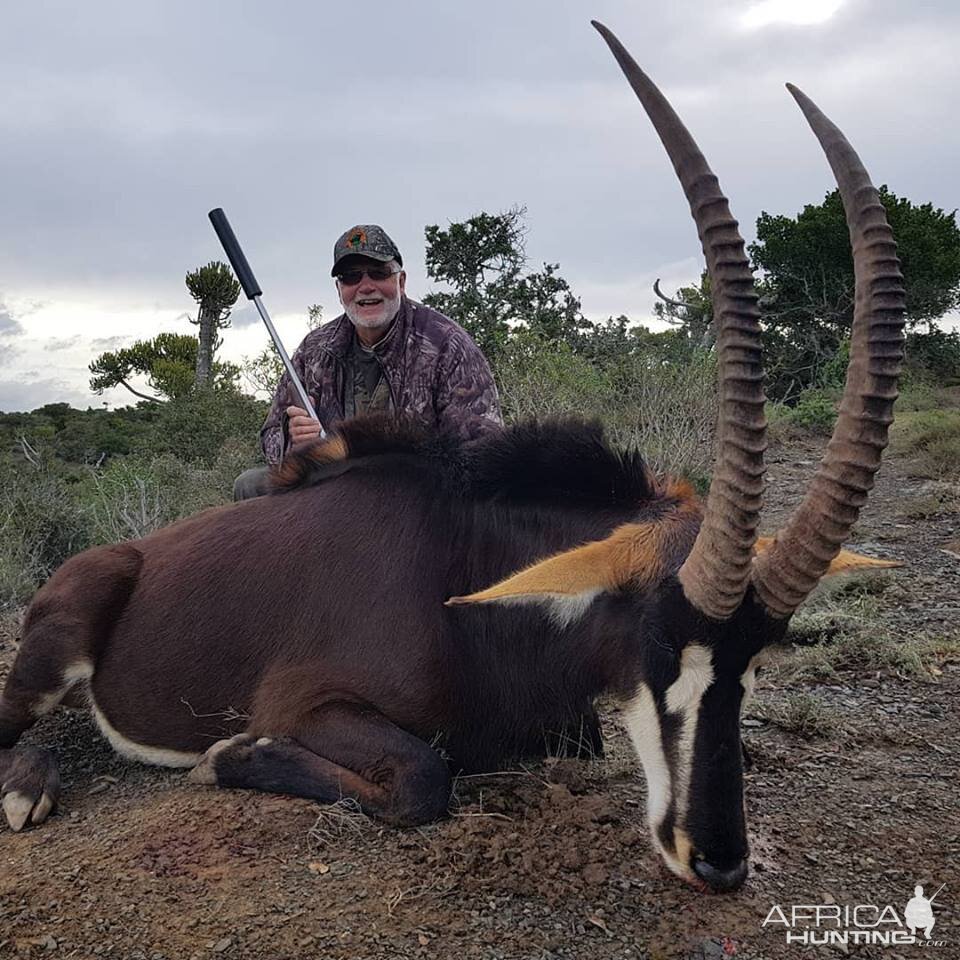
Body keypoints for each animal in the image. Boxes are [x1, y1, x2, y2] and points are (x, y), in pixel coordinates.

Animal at [0, 22, 908, 892]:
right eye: (654, 640)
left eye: (759, 655)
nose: (717, 859)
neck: (463, 568)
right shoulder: (306, 703)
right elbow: (422, 777)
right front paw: (228, 756)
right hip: (57, 644)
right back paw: (27, 788)